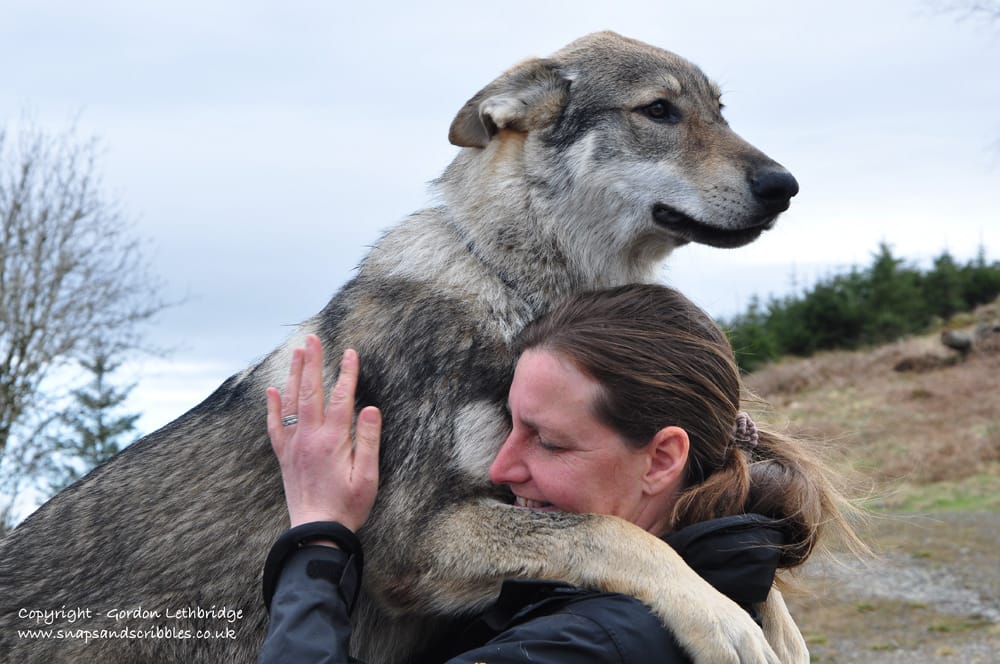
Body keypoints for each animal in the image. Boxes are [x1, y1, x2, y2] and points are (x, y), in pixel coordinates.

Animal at [0, 33, 804, 664]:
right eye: (659, 111)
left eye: (721, 112)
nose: (786, 184)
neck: (512, 285)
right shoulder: (414, 542)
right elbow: (614, 535)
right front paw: (725, 620)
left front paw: (773, 620)